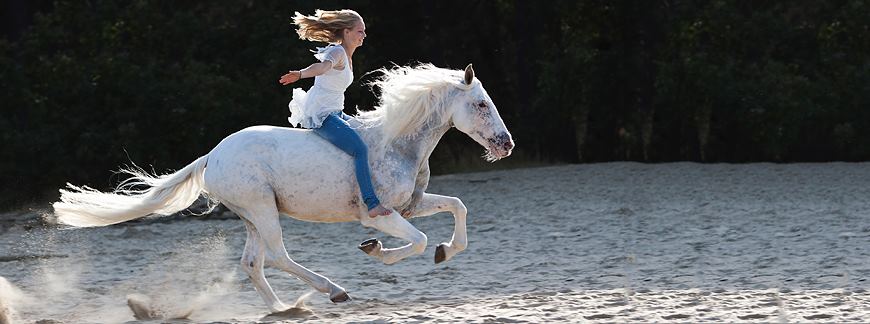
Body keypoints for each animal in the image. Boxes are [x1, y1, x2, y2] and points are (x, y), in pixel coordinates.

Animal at [51, 64, 516, 312]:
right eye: (480, 104)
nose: (506, 144)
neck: (397, 144)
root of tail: (212, 155)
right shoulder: (380, 215)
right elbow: (416, 241)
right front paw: (376, 251)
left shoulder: (413, 205)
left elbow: (457, 207)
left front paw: (445, 252)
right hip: (261, 209)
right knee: (277, 256)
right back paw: (332, 291)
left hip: (252, 216)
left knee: (253, 262)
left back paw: (284, 309)